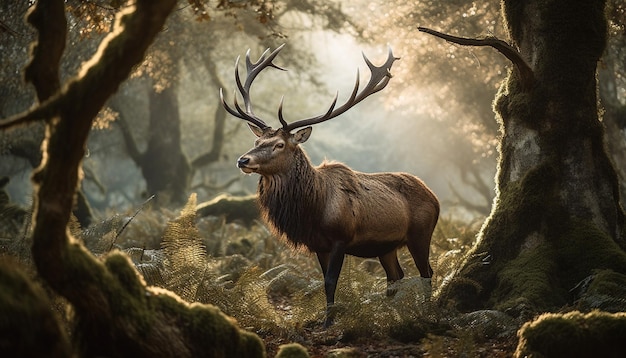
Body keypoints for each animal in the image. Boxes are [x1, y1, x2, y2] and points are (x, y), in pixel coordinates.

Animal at [219, 44, 438, 328]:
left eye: (279, 144)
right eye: (257, 142)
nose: (243, 160)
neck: (313, 209)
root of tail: (435, 198)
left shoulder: (340, 238)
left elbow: (331, 281)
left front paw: (328, 323)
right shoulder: (318, 245)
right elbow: (324, 282)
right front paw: (327, 318)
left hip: (421, 233)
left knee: (426, 272)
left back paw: (427, 313)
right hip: (386, 245)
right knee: (396, 276)